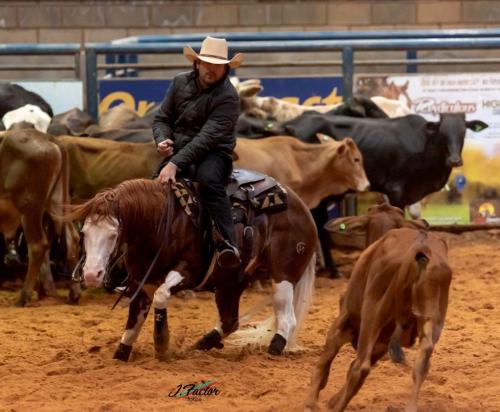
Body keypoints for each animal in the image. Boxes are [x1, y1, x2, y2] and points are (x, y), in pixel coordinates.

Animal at [0, 129, 79, 306]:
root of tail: (47, 137)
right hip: (57, 202)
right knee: (72, 238)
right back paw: (73, 294)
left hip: (29, 207)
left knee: (38, 245)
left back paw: (23, 297)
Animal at [67, 176, 316, 360]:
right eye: (84, 232)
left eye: (113, 234)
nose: (91, 275)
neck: (160, 223)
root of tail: (303, 209)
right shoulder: (141, 282)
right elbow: (134, 322)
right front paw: (121, 354)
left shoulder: (186, 271)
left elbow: (161, 295)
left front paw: (162, 342)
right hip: (230, 283)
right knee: (230, 321)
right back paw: (200, 345)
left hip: (283, 275)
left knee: (287, 319)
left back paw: (273, 349)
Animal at [304, 229, 454, 412]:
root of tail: (422, 246)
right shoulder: (383, 341)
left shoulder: (344, 320)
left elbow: (326, 358)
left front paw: (312, 401)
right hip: (431, 319)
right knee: (422, 363)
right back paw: (410, 406)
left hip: (372, 314)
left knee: (361, 366)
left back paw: (336, 407)